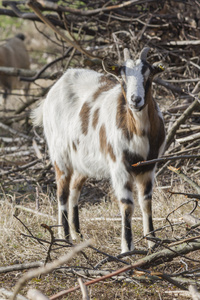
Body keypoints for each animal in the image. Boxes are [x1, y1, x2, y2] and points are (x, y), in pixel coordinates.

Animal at [32, 47, 166, 253]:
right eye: (122, 78)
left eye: (149, 75)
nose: (136, 100)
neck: (138, 130)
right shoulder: (119, 165)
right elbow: (127, 205)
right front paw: (127, 248)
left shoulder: (148, 166)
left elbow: (146, 203)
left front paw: (153, 242)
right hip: (60, 155)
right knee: (62, 193)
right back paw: (65, 239)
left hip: (82, 162)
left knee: (74, 191)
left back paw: (76, 234)